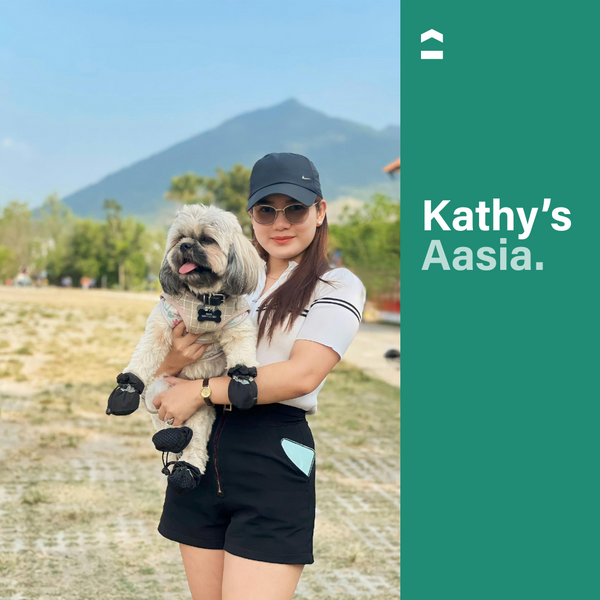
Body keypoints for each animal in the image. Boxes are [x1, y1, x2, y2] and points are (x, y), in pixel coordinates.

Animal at [105, 204, 262, 494]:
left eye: (207, 240)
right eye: (180, 238)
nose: (185, 246)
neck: (204, 300)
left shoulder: (238, 325)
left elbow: (242, 351)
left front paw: (243, 381)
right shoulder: (163, 321)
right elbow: (145, 354)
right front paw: (127, 387)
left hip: (199, 408)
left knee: (196, 440)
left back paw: (185, 468)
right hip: (160, 389)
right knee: (161, 420)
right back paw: (172, 438)